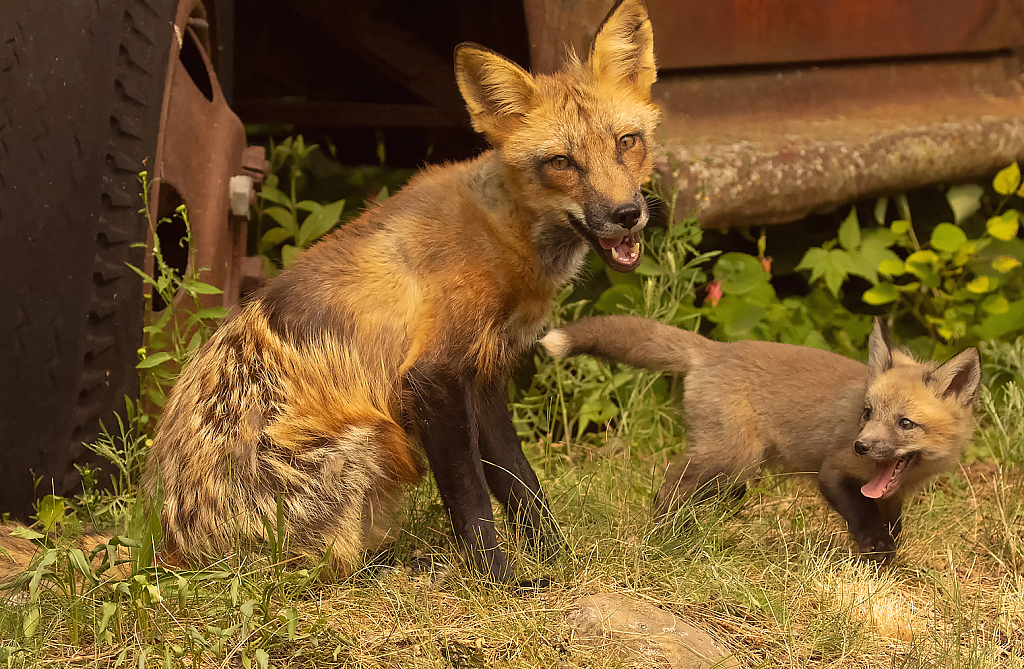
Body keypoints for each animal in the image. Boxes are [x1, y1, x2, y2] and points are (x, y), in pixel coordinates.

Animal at [136, 0, 659, 577]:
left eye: (627, 142)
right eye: (562, 162)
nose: (627, 214)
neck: (504, 232)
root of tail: (176, 547)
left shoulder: (483, 374)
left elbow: (521, 485)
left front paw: (557, 561)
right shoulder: (433, 377)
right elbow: (473, 501)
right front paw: (500, 580)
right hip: (370, 442)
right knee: (327, 567)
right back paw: (401, 567)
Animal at [540, 313, 978, 557]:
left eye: (905, 423)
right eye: (867, 414)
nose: (862, 445)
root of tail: (715, 349)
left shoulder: (892, 496)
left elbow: (891, 523)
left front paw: (888, 552)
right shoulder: (832, 470)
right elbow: (860, 515)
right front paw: (874, 549)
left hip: (736, 472)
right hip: (733, 458)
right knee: (671, 483)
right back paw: (666, 534)